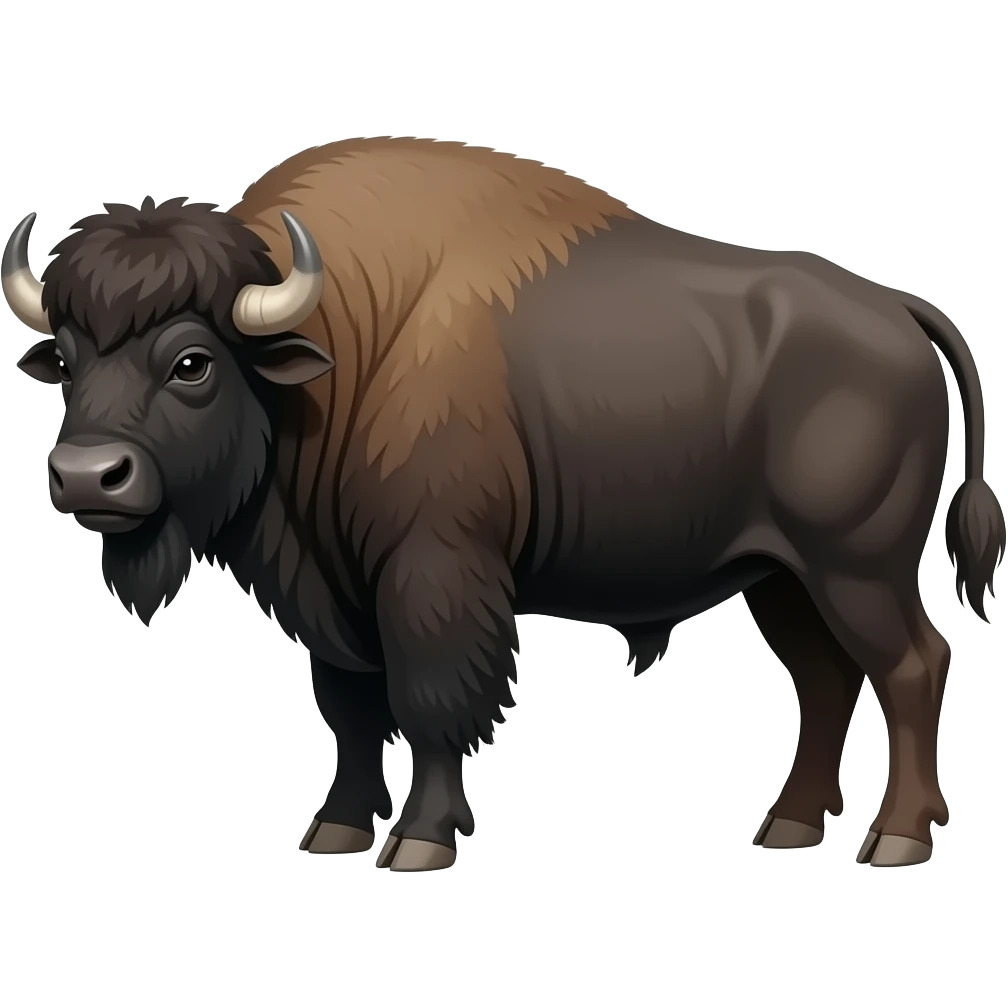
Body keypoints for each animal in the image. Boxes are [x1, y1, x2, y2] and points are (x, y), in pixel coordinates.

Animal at [4, 137, 1000, 870]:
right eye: (69, 360)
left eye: (191, 362)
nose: (87, 478)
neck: (337, 350)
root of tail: (899, 312)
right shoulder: (334, 597)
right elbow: (351, 712)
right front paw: (333, 833)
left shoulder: (432, 572)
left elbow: (431, 704)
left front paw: (419, 843)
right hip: (779, 578)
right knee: (827, 680)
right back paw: (786, 830)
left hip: (857, 568)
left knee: (913, 665)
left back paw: (897, 841)